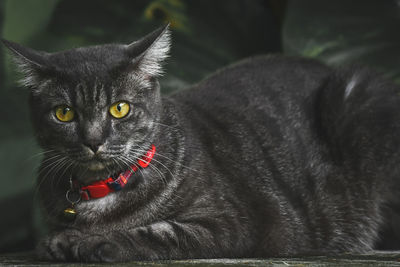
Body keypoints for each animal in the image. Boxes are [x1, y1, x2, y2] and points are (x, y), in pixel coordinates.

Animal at [3, 25, 400, 264]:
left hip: (357, 98)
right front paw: (60, 239)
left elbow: (159, 232)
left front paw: (85, 242)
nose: (94, 140)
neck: (98, 191)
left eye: (120, 108)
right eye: (64, 113)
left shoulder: (234, 221)